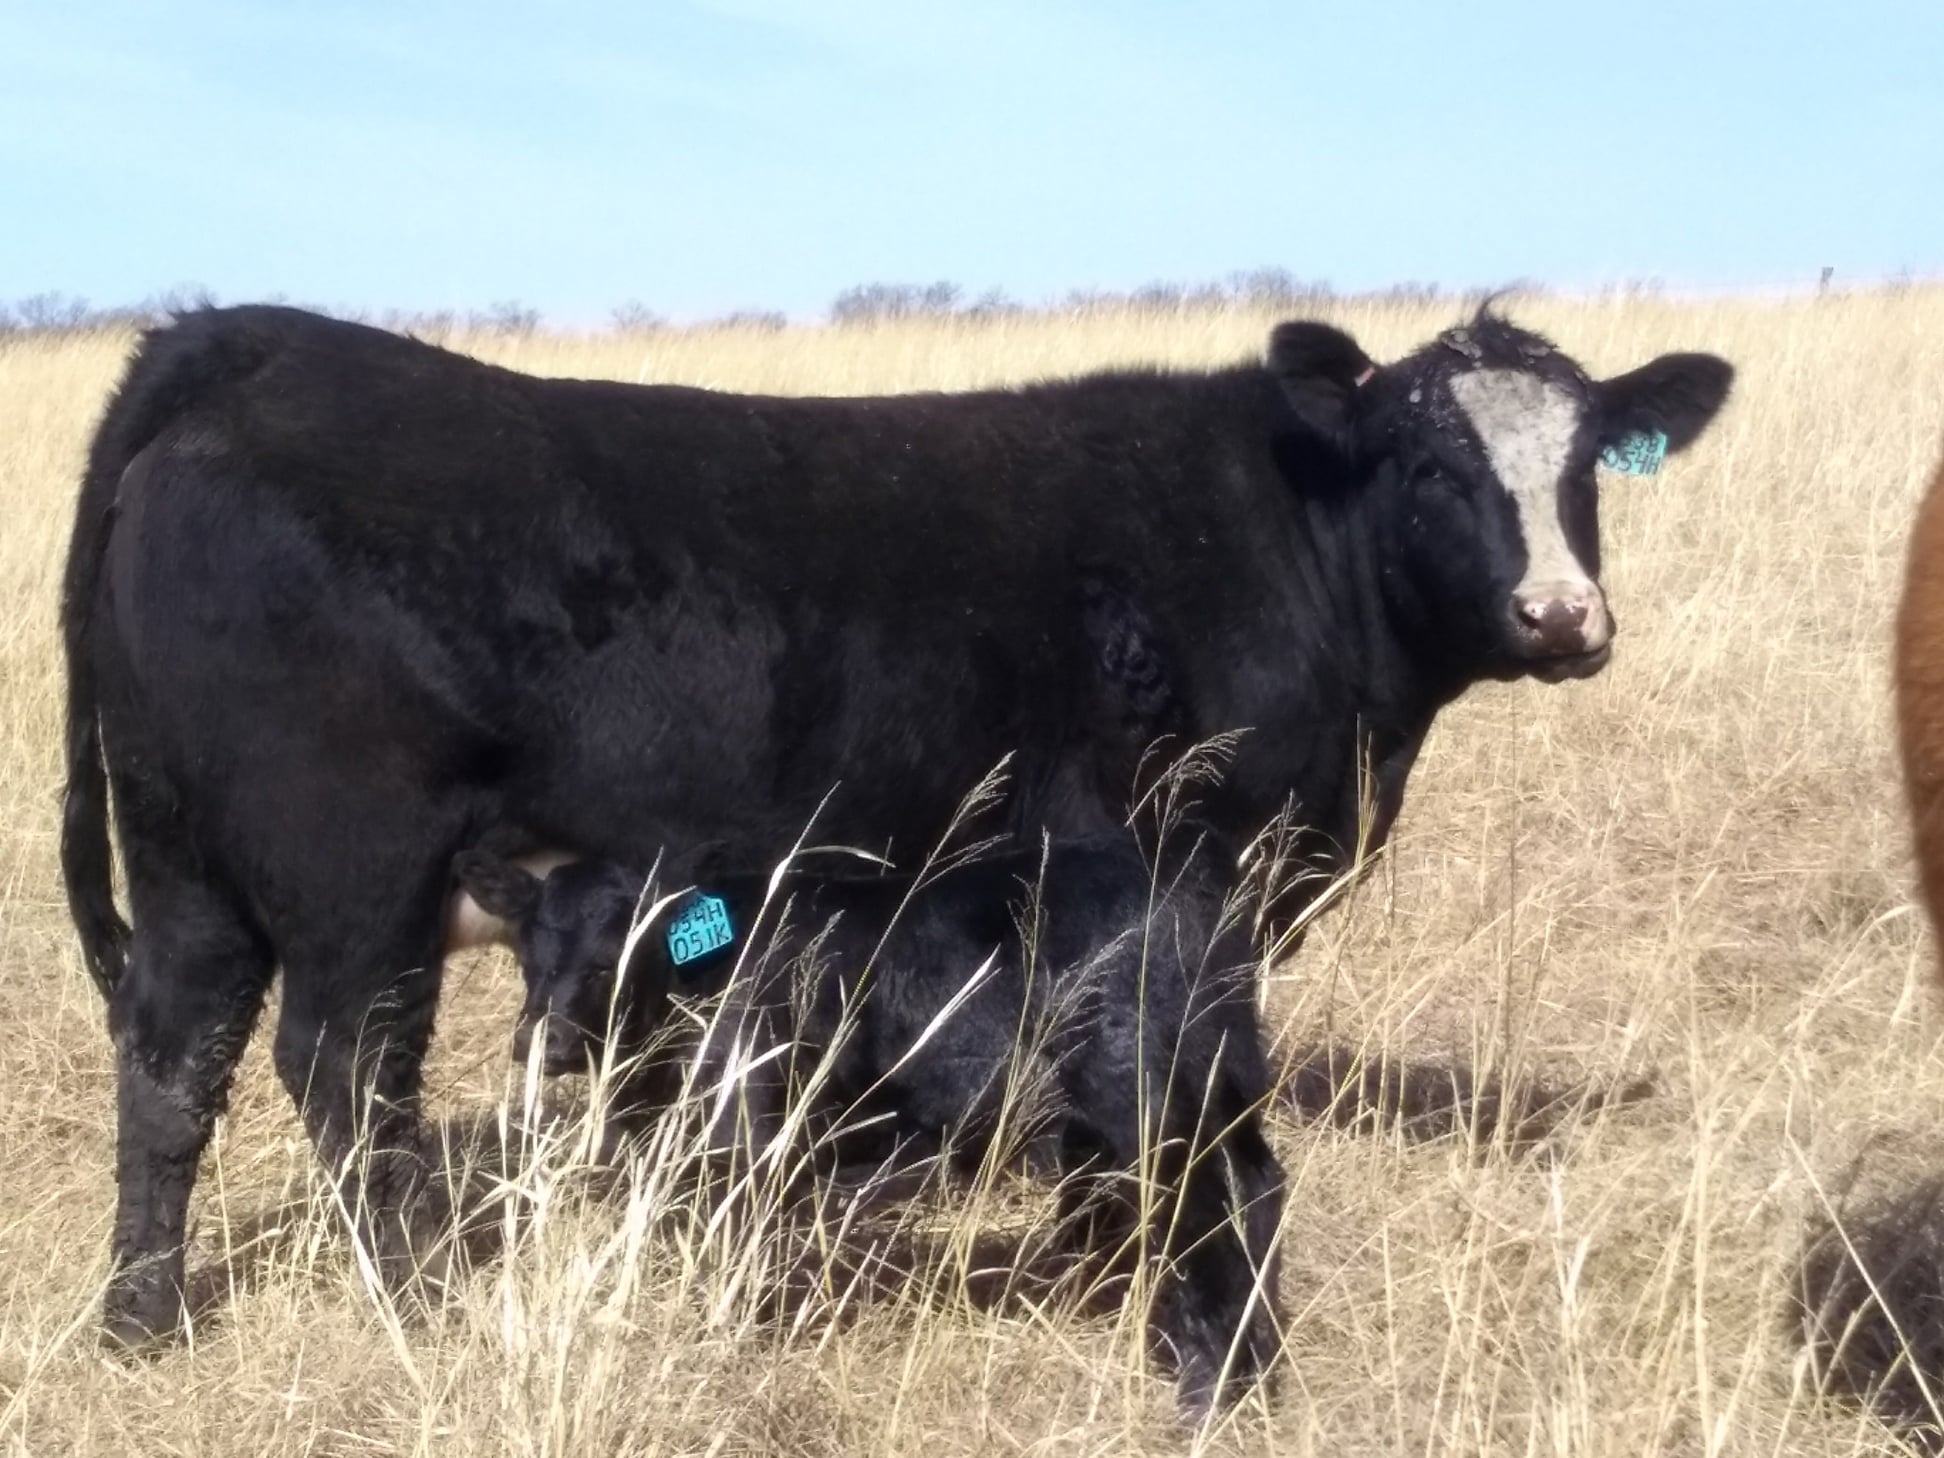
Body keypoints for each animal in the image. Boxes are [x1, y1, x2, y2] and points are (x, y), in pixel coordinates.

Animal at [453, 836, 1282, 1415]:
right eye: (530, 945)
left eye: (623, 947)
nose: (546, 1040)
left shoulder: (747, 1133)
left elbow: (734, 1255)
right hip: (1225, 1092)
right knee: (1259, 1192)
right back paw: (1257, 1368)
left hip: (1148, 1102)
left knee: (1205, 1224)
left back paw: (1208, 1397)